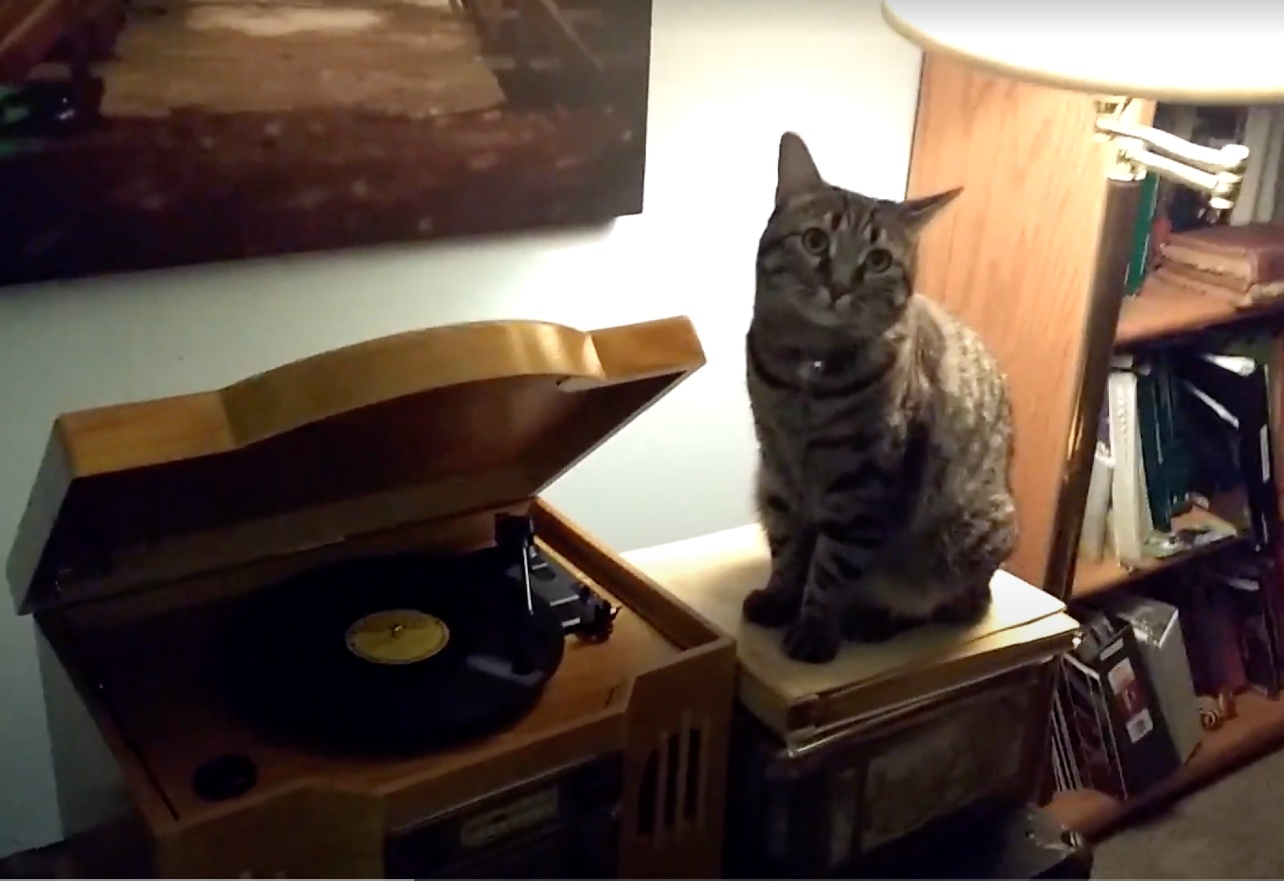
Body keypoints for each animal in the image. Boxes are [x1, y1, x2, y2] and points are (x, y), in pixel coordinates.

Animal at [744, 134, 1011, 667]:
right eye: (814, 241)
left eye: (878, 261)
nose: (839, 286)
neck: (808, 376)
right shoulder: (777, 468)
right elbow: (788, 547)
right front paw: (781, 598)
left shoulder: (862, 483)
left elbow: (831, 567)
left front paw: (814, 629)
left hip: (962, 542)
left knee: (950, 604)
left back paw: (875, 617)